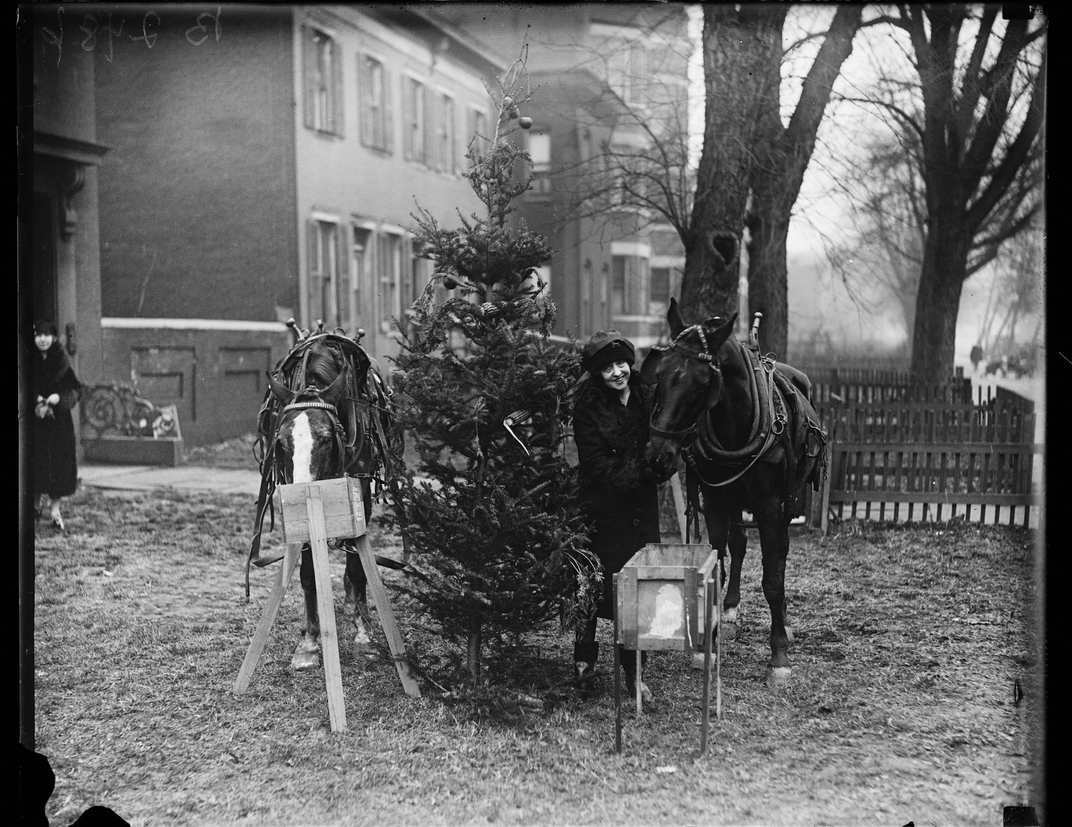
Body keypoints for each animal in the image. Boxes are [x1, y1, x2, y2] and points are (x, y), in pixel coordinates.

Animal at [243, 326, 403, 673]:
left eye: (327, 439)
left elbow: (356, 566)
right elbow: (307, 573)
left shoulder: (359, 492)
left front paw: (364, 635)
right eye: (281, 442)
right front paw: (309, 642)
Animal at [638, 298, 823, 686]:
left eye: (701, 383)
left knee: (780, 555)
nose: (658, 455)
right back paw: (731, 611)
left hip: (784, 501)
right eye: (660, 374)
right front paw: (707, 643)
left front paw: (779, 655)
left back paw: (783, 619)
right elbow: (717, 567)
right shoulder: (716, 501)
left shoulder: (770, 505)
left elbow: (773, 578)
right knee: (738, 546)